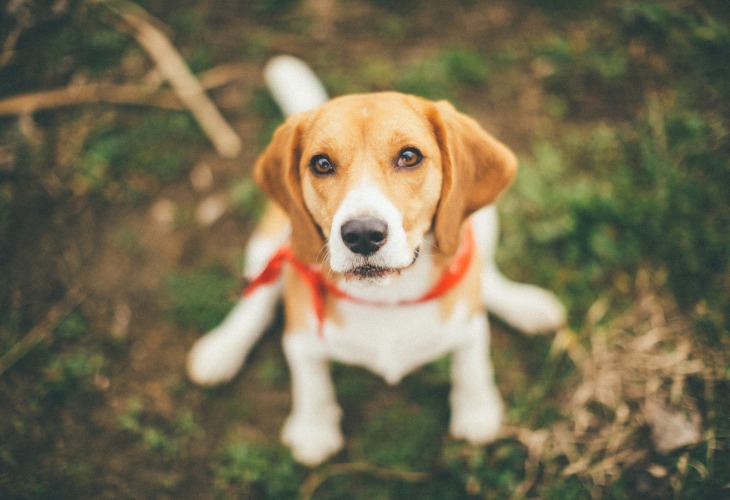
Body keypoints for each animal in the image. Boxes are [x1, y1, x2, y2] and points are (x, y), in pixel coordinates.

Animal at [188, 55, 564, 464]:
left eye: (409, 156)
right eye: (321, 163)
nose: (362, 234)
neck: (387, 299)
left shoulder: (469, 324)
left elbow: (472, 363)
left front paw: (477, 410)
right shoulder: (301, 336)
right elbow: (310, 379)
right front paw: (314, 427)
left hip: (482, 221)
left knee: (487, 275)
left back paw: (525, 305)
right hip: (270, 241)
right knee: (256, 296)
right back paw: (223, 349)